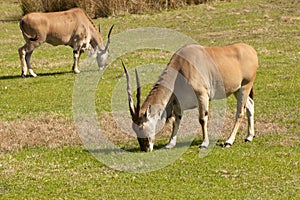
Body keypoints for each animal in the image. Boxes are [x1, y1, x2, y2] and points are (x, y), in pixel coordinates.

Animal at [122, 42, 258, 152]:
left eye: (142, 127)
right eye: (133, 128)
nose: (145, 148)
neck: (180, 67)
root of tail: (252, 51)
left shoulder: (202, 95)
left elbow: (202, 119)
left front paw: (204, 143)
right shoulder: (177, 102)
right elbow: (176, 120)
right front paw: (170, 144)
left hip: (245, 86)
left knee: (240, 112)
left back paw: (229, 141)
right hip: (237, 90)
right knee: (250, 105)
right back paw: (249, 137)